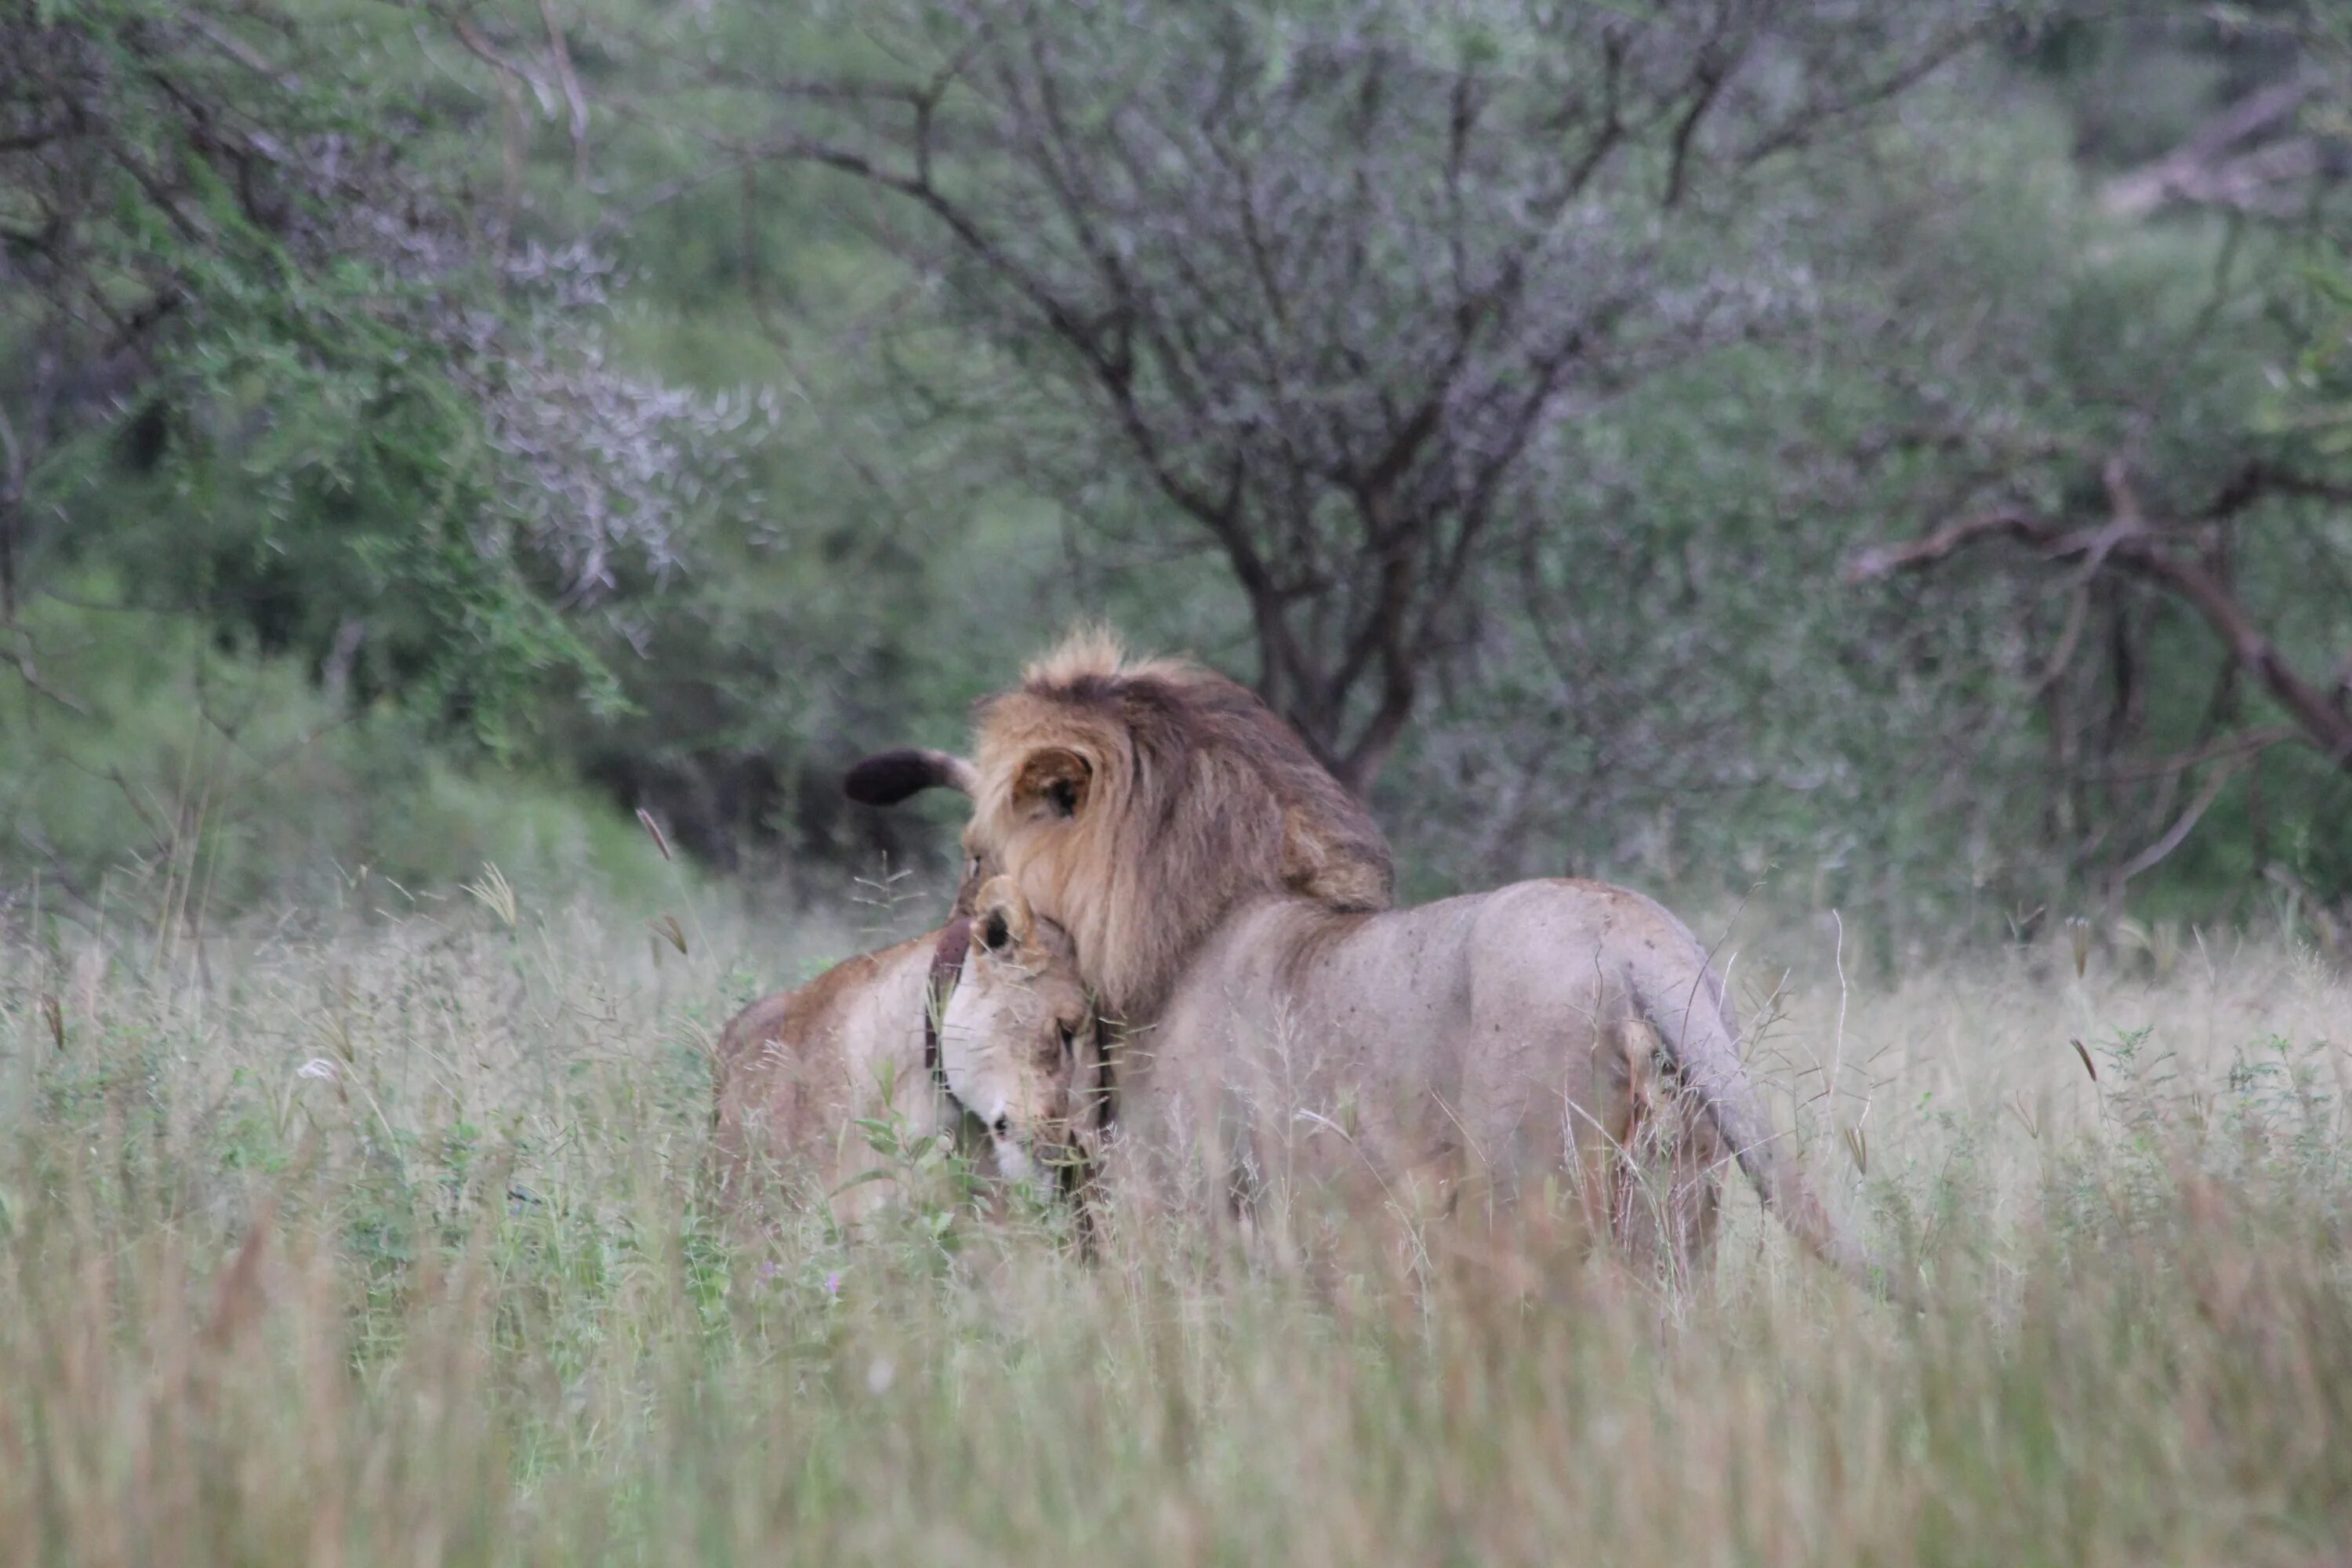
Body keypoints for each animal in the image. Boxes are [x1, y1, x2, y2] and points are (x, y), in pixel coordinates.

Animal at [847, 630, 1891, 1298]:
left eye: (974, 855)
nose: (945, 955)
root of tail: (1648, 948)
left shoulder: (1184, 1198)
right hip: (1676, 1208)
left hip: (1532, 1189)